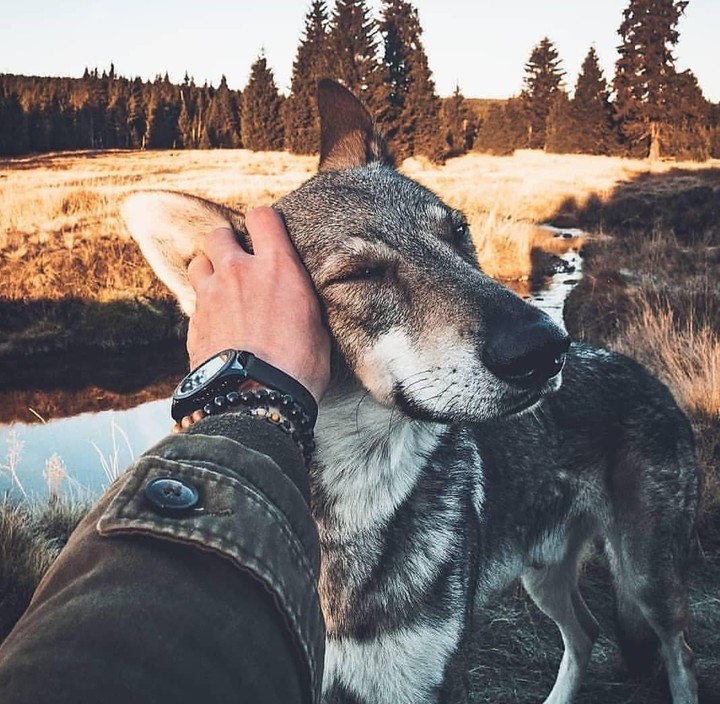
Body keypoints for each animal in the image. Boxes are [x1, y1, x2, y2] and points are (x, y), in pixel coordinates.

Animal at [121, 80, 699, 704]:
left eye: (459, 233)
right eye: (359, 276)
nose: (546, 347)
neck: (350, 511)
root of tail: (643, 371)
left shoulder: (424, 681)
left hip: (644, 578)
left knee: (679, 653)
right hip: (542, 572)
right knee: (588, 632)